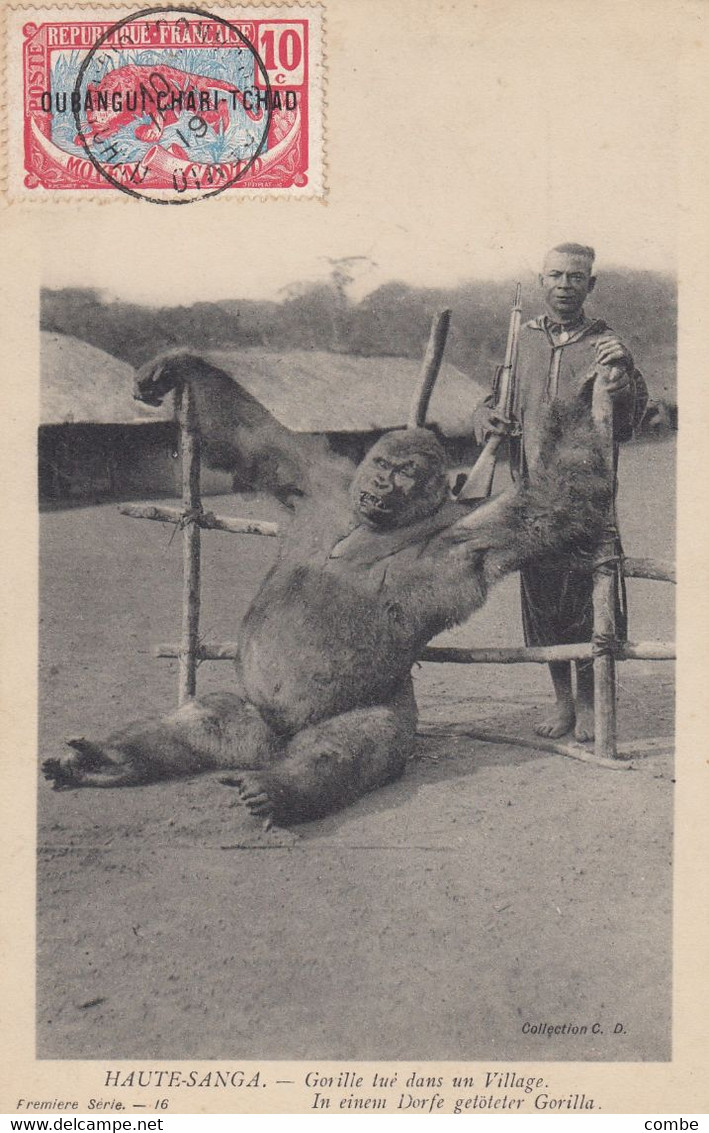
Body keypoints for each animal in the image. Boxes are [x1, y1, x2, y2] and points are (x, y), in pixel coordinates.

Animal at [41, 348, 611, 829]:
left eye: (406, 473)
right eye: (381, 464)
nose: (380, 484)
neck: (378, 525)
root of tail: (272, 747)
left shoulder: (470, 537)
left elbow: (552, 505)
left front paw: (582, 393)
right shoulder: (319, 481)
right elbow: (258, 440)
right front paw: (178, 367)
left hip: (372, 715)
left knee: (341, 749)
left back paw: (278, 790)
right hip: (249, 719)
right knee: (202, 719)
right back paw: (109, 761)